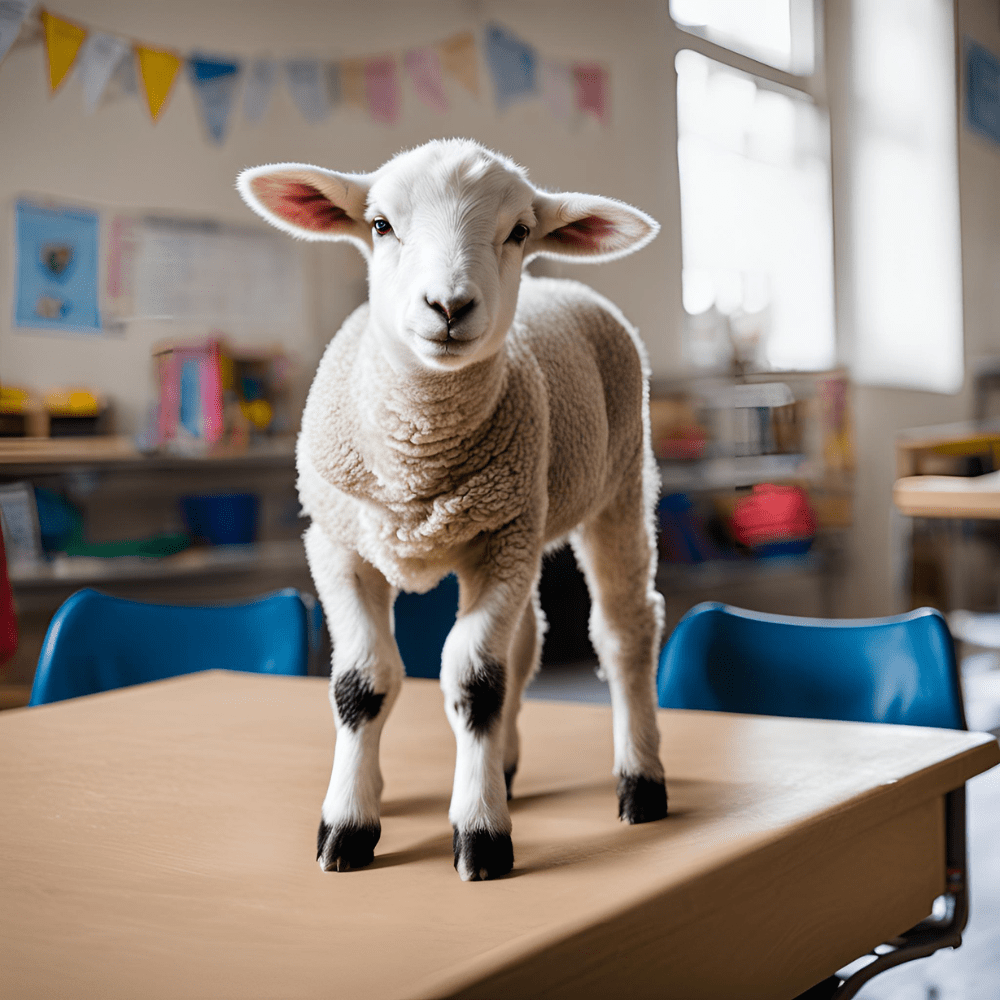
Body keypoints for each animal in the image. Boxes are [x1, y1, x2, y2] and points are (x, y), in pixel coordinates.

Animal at [237, 139, 667, 881]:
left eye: (519, 230)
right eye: (380, 225)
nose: (448, 305)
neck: (417, 455)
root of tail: (565, 287)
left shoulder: (503, 540)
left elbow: (474, 680)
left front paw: (480, 832)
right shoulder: (340, 543)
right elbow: (363, 680)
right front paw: (350, 821)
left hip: (617, 487)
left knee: (623, 631)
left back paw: (640, 780)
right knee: (527, 641)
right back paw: (507, 766)